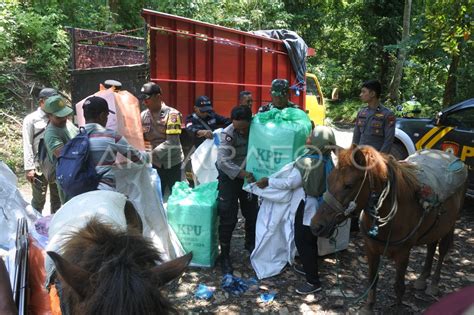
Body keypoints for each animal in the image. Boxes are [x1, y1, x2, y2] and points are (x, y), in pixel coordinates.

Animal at [312, 146, 466, 314]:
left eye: (349, 185)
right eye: (329, 180)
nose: (316, 225)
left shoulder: (403, 253)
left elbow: (399, 286)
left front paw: (397, 309)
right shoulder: (370, 249)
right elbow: (372, 279)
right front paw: (368, 307)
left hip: (450, 226)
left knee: (442, 250)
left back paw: (434, 284)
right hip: (435, 229)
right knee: (431, 247)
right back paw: (421, 279)